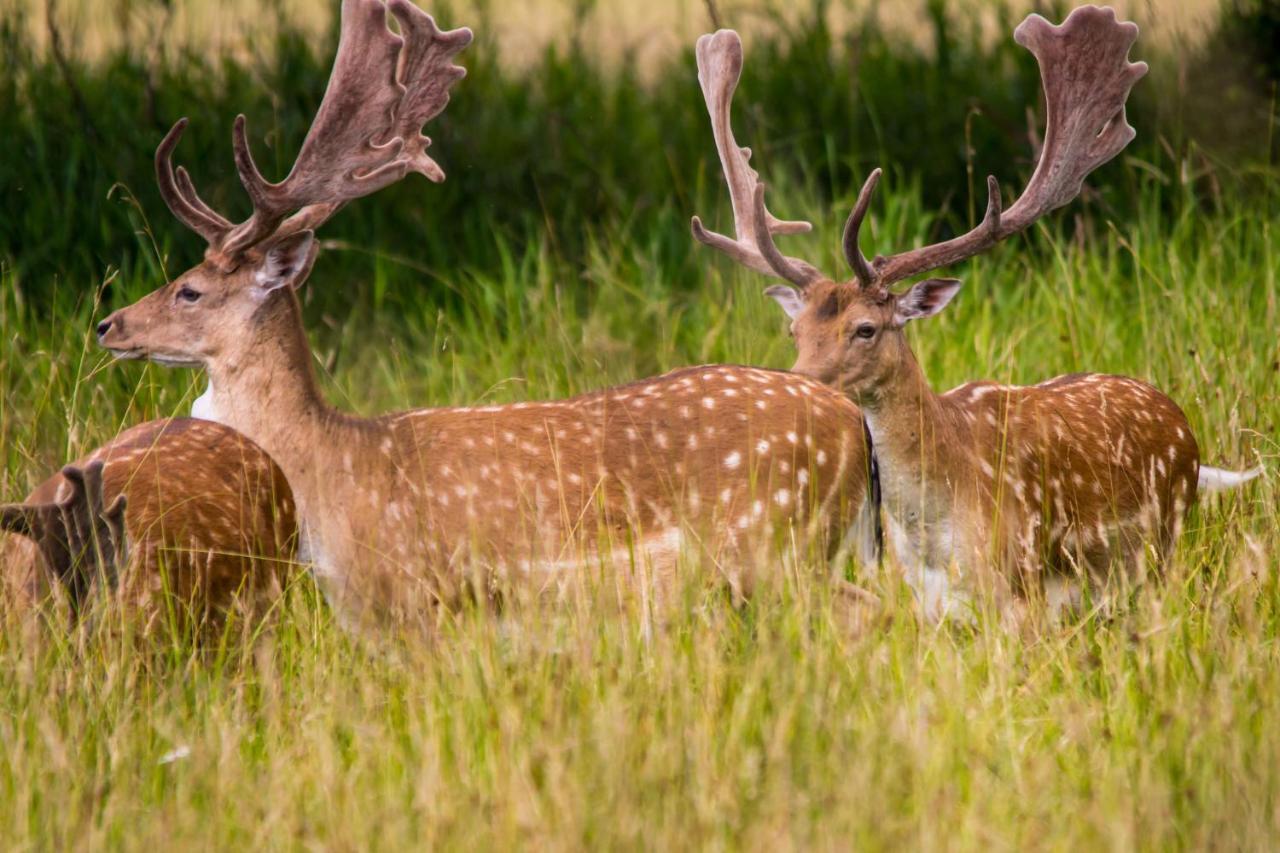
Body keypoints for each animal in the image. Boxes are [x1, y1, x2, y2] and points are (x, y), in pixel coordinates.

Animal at [94, 0, 875, 625]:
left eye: (190, 288)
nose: (108, 324)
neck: (331, 476)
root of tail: (850, 423)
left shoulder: (421, 595)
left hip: (773, 543)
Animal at [691, 8, 1259, 617]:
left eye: (866, 329)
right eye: (794, 330)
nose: (795, 389)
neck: (939, 532)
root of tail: (1185, 430)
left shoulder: (1023, 585)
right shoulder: (928, 603)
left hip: (1160, 554)